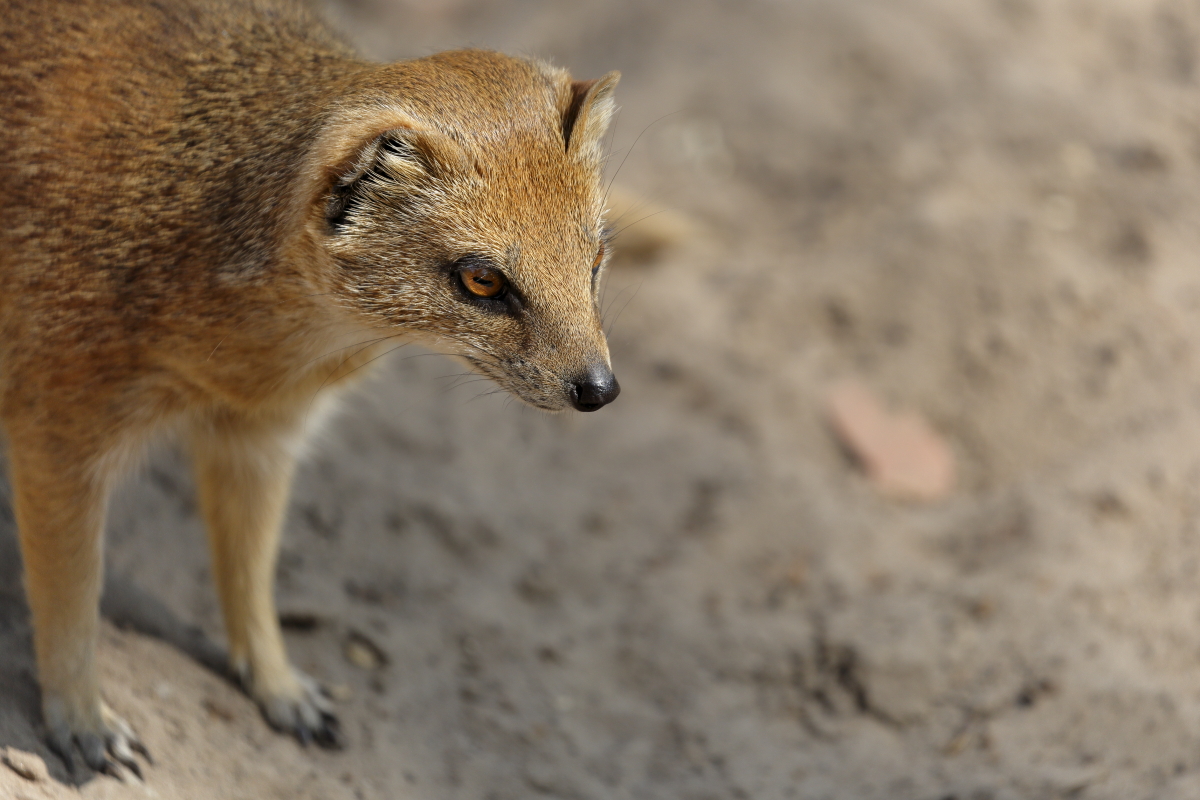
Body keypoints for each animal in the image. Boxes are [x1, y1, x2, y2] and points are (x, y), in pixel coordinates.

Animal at [0, 0, 621, 778]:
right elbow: (71, 588)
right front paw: (85, 724)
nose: (599, 387)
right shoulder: (57, 414)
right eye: (481, 279)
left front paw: (284, 689)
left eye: (596, 257)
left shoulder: (266, 433)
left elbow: (251, 565)